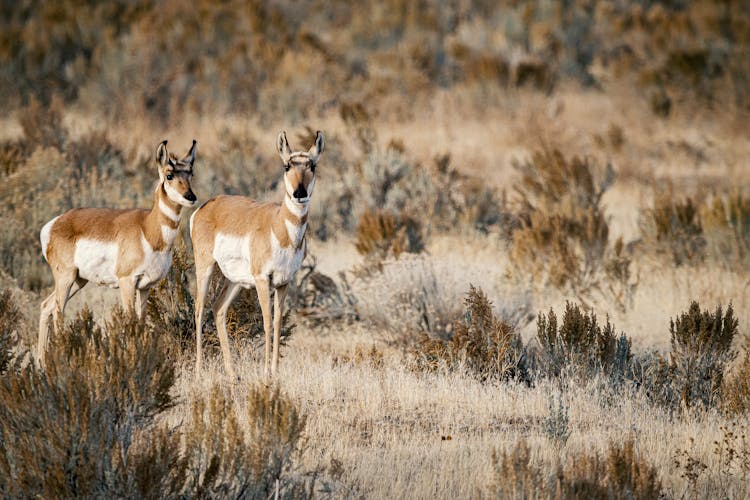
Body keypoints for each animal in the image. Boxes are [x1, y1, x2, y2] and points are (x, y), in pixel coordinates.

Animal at [38, 139, 198, 362]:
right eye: (169, 175)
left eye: (190, 173)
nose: (190, 196)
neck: (147, 229)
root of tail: (54, 224)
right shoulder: (126, 282)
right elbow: (130, 321)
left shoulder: (145, 287)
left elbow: (140, 322)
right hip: (66, 278)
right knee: (58, 312)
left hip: (79, 280)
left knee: (47, 306)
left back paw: (41, 363)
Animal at [191, 129, 324, 378]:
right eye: (286, 166)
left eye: (312, 165)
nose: (299, 193)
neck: (279, 227)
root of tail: (207, 206)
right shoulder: (263, 280)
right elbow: (267, 321)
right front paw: (266, 373)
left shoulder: (283, 283)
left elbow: (278, 322)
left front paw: (275, 371)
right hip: (205, 268)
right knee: (199, 309)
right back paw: (199, 371)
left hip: (235, 281)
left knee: (218, 309)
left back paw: (232, 374)